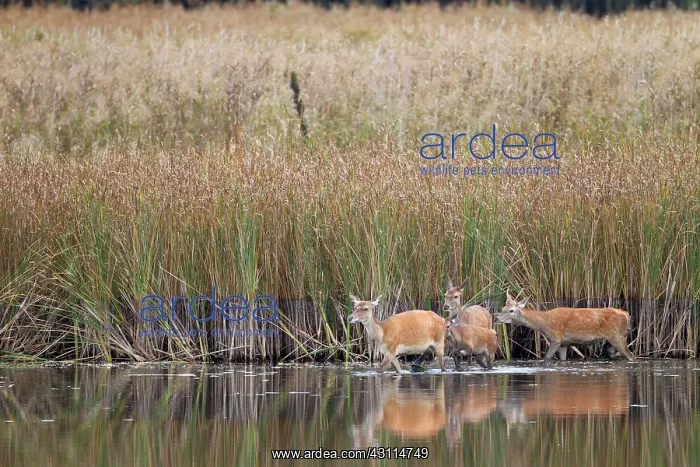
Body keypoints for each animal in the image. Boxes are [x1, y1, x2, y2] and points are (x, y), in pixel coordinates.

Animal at [494, 291, 635, 361]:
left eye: (511, 310)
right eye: (503, 308)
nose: (496, 318)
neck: (544, 323)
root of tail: (626, 314)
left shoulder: (556, 337)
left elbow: (546, 358)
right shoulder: (564, 343)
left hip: (616, 335)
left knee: (631, 356)